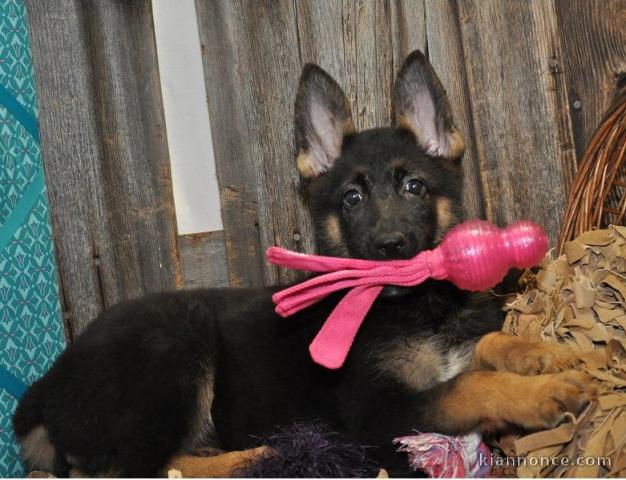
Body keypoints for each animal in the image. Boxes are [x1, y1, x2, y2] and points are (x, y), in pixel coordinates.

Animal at [12, 50, 592, 478]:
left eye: (415, 187)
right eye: (351, 200)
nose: (390, 245)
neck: (415, 308)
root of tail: (45, 387)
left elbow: (488, 345)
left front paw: (544, 356)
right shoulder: (379, 412)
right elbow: (470, 386)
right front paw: (541, 393)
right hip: (171, 345)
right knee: (146, 469)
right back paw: (262, 456)